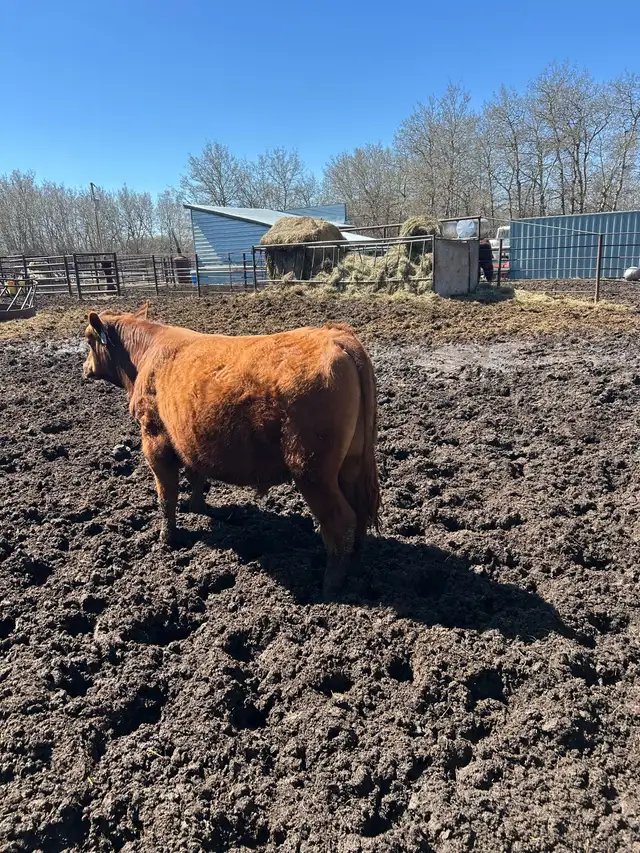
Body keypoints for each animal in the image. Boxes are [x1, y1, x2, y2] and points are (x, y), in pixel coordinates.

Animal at [82, 306, 380, 597]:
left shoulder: (155, 439)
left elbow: (166, 494)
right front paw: (198, 508)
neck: (145, 355)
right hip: (350, 465)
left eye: (88, 340)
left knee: (341, 521)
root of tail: (336, 336)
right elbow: (195, 477)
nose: (85, 368)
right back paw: (355, 567)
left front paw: (168, 538)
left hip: (312, 471)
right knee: (359, 513)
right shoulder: (189, 441)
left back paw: (330, 586)